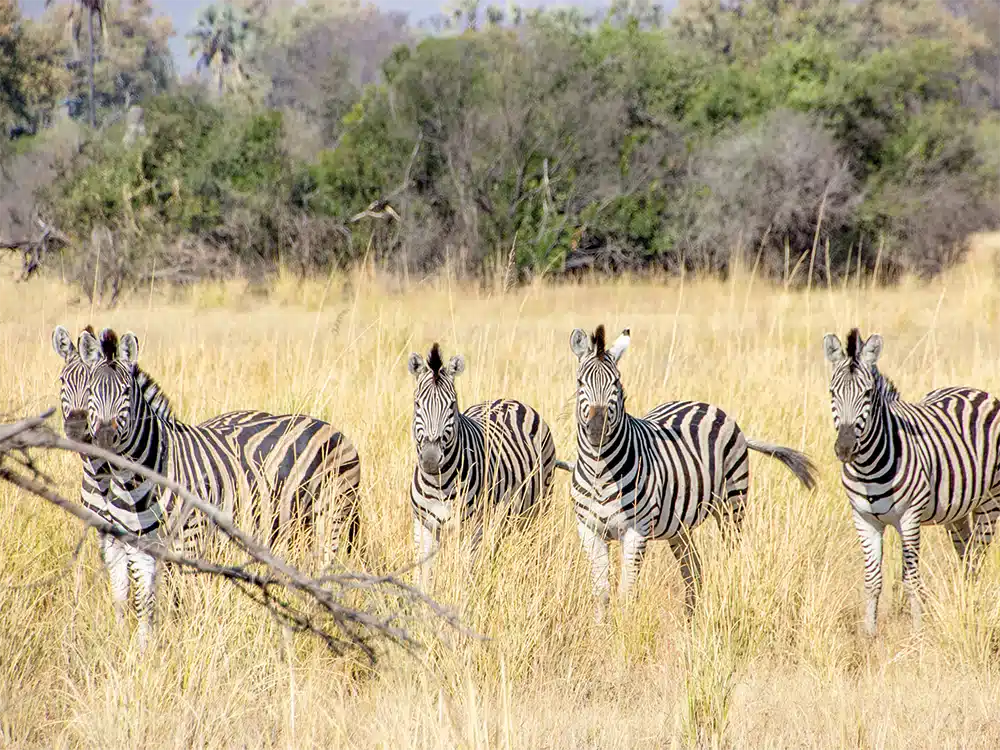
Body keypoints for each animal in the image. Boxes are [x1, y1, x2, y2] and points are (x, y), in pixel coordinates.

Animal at [77, 327, 362, 648]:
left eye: (126, 393)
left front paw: (185, 642)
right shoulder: (137, 544)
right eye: (90, 392)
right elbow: (143, 602)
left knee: (329, 572)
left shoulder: (191, 537)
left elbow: (182, 598)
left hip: (334, 515)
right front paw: (142, 651)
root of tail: (336, 431)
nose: (104, 441)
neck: (138, 479)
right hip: (302, 525)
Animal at [407, 342, 569, 588]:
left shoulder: (474, 527)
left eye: (452, 405)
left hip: (536, 508)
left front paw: (463, 596)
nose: (431, 459)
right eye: (417, 404)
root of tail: (510, 400)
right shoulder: (423, 524)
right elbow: (424, 574)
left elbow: (465, 572)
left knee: (530, 546)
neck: (439, 482)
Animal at [570, 324, 817, 620]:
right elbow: (602, 593)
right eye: (580, 383)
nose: (597, 430)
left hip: (733, 504)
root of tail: (704, 404)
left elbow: (626, 594)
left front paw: (624, 628)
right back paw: (690, 618)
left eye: (616, 384)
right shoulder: (589, 531)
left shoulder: (636, 531)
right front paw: (600, 628)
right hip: (680, 526)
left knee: (729, 558)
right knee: (694, 569)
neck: (601, 473)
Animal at [824, 328, 1000, 636]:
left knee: (978, 554)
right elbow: (872, 579)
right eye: (833, 392)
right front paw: (869, 633)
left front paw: (918, 631)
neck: (867, 467)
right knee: (966, 553)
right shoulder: (863, 519)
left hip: (990, 502)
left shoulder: (909, 517)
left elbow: (911, 579)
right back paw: (966, 600)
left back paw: (973, 605)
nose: (844, 449)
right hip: (956, 510)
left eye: (867, 394)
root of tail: (975, 390)